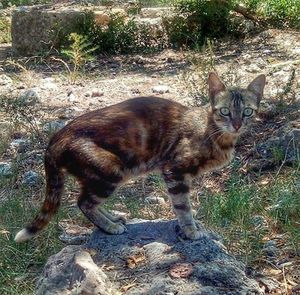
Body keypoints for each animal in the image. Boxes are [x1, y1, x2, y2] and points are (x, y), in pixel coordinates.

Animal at [15, 73, 266, 244]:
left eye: (247, 111)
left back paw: (114, 219)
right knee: (83, 202)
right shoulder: (175, 170)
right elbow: (183, 206)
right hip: (110, 170)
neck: (213, 132)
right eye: (225, 111)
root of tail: (56, 138)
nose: (237, 124)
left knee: (87, 200)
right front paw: (191, 230)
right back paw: (110, 227)